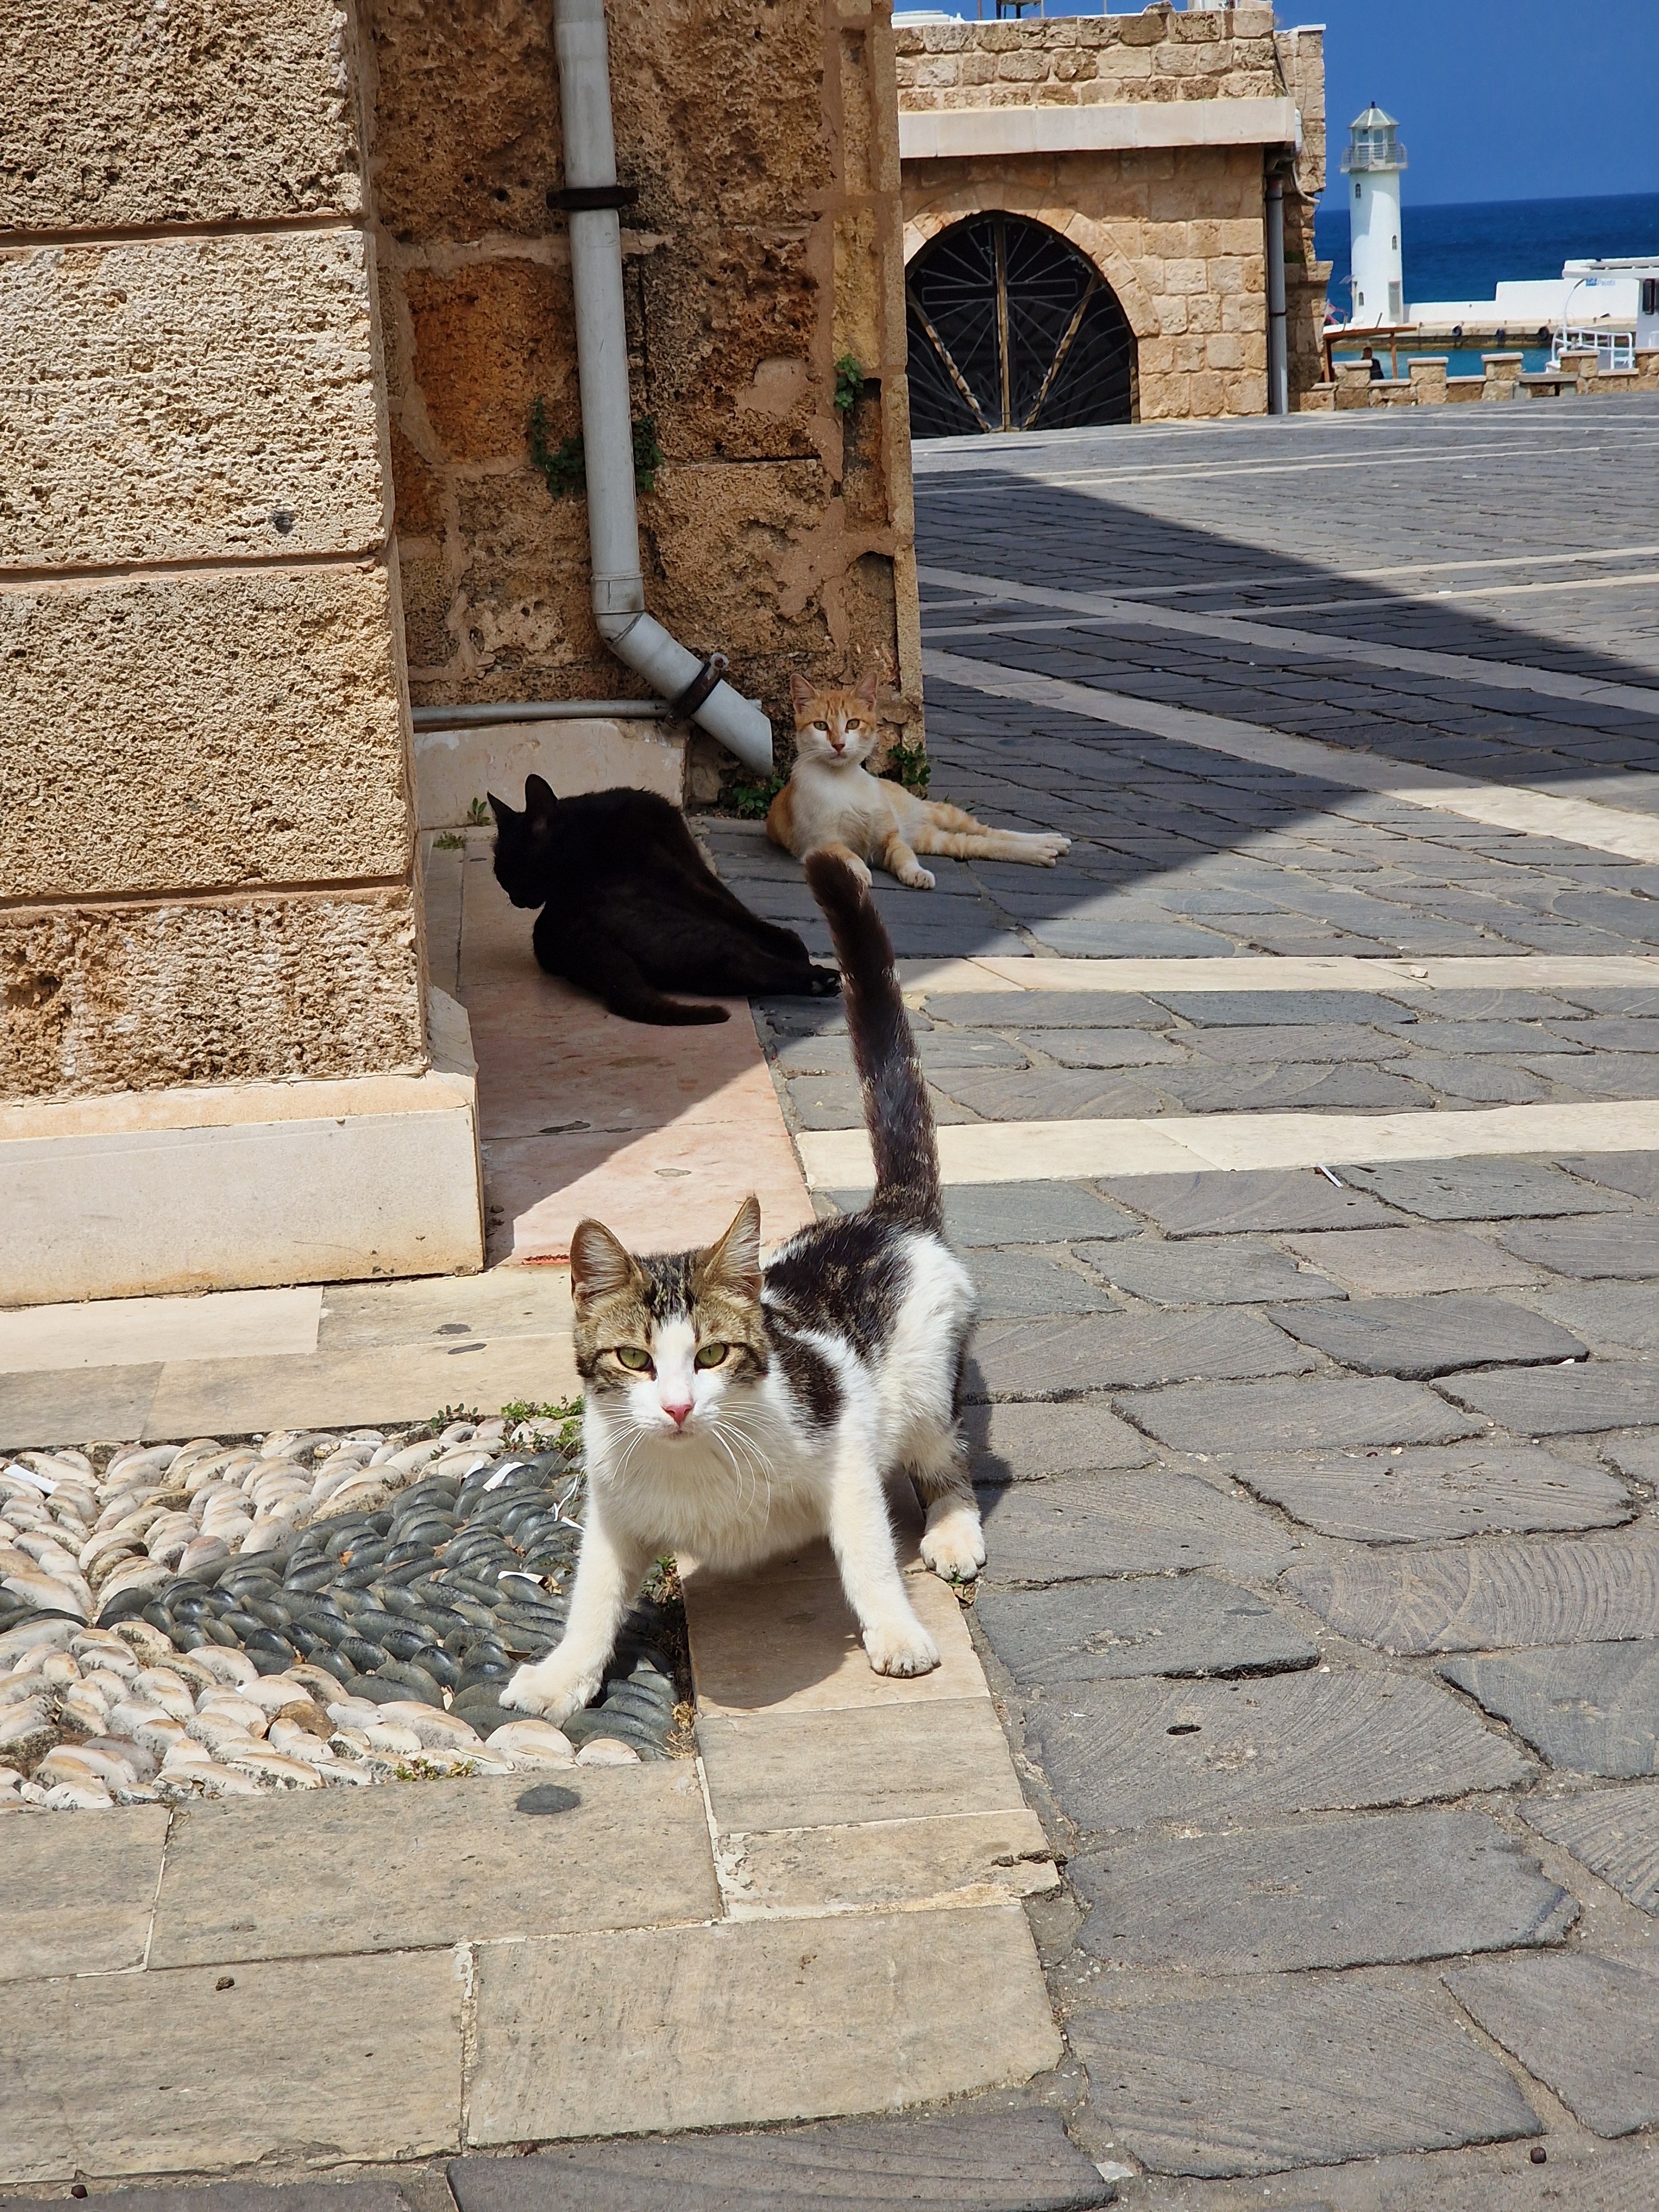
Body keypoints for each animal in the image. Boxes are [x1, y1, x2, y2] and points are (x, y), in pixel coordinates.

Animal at [488, 776, 839, 1025]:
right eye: (503, 877)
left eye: (515, 873)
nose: (515, 899)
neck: (590, 830)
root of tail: (568, 935)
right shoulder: (681, 870)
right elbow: (734, 907)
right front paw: (793, 946)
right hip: (699, 935)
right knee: (742, 960)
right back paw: (820, 979)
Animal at [503, 849, 986, 1727]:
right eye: (632, 1360)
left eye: (714, 1355)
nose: (677, 1408)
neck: (697, 1464)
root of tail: (887, 1215)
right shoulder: (613, 1509)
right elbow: (592, 1596)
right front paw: (563, 1675)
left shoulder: (844, 1447)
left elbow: (868, 1552)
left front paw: (897, 1633)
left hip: (927, 1386)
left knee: (948, 1457)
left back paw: (954, 1532)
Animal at [766, 670, 1070, 889]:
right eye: (821, 726)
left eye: (853, 724)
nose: (839, 744)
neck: (844, 781)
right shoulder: (820, 844)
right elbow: (848, 855)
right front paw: (858, 873)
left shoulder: (891, 839)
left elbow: (905, 857)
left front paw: (917, 872)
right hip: (938, 840)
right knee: (980, 845)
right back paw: (1042, 852)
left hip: (943, 815)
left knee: (991, 832)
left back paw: (1050, 842)